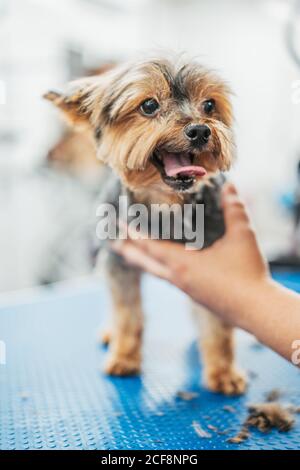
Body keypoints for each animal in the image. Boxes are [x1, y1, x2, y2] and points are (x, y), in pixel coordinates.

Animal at [44, 56, 246, 396]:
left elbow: (216, 324)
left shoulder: (215, 265)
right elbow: (128, 315)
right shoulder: (119, 260)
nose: (200, 130)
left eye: (209, 105)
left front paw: (224, 371)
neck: (165, 204)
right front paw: (124, 357)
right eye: (149, 105)